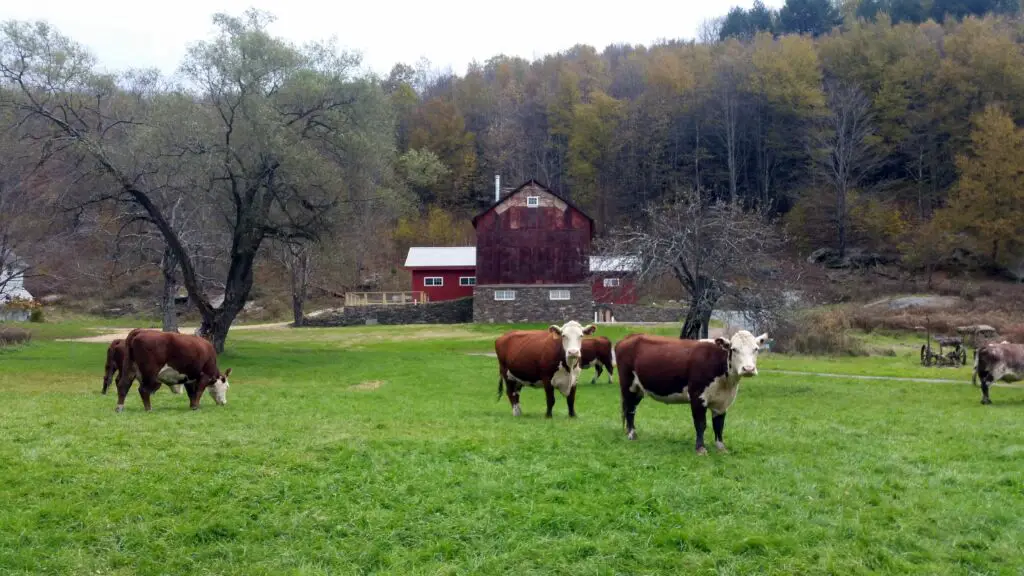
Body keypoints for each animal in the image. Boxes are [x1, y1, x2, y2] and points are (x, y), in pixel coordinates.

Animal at [615, 330, 768, 455]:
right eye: (734, 349)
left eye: (756, 349)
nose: (748, 369)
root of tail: (631, 336)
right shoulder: (697, 397)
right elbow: (700, 424)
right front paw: (700, 448)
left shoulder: (722, 402)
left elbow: (719, 425)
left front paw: (721, 447)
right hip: (628, 385)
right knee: (629, 410)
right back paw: (631, 435)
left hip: (638, 389)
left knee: (632, 409)